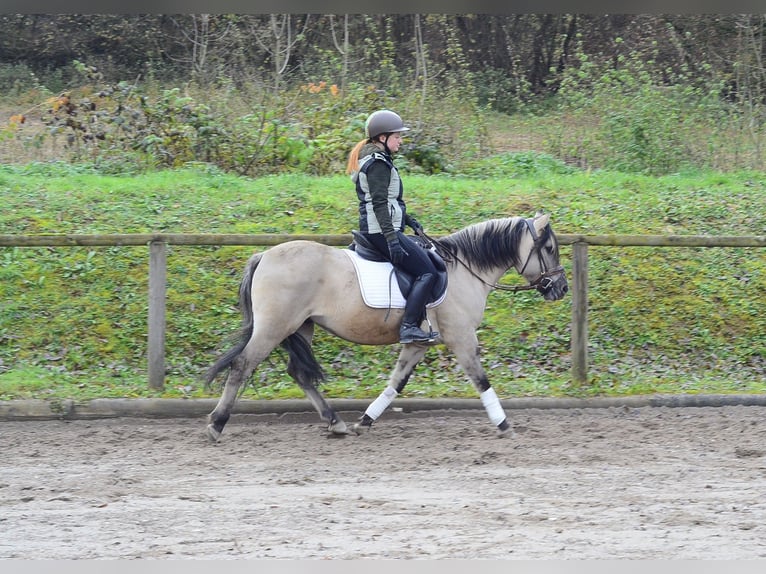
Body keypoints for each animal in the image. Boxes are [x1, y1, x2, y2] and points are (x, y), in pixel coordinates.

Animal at [204, 211, 568, 441]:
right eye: (550, 248)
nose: (561, 289)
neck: (466, 269)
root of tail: (264, 255)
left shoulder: (418, 343)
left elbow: (396, 383)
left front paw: (365, 421)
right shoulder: (462, 339)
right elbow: (482, 381)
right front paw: (505, 425)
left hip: (300, 327)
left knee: (300, 374)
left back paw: (336, 423)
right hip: (274, 326)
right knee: (242, 365)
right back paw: (216, 425)